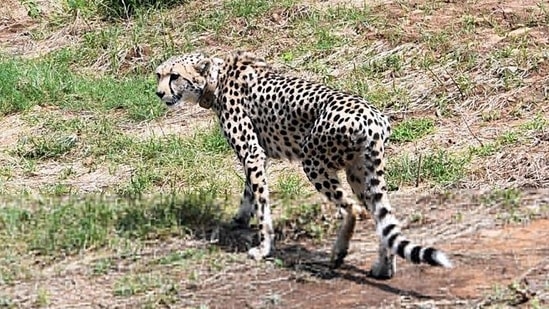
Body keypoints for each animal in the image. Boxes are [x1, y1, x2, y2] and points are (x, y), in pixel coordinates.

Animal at [153, 50, 450, 276]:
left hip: (313, 161)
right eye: (159, 75)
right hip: (359, 172)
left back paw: (339, 253)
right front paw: (238, 219)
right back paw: (383, 268)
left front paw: (263, 247)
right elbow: (249, 193)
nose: (158, 93)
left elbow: (262, 205)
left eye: (175, 76)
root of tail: (374, 118)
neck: (216, 78)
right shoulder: (256, 155)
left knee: (353, 209)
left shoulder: (252, 153)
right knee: (382, 217)